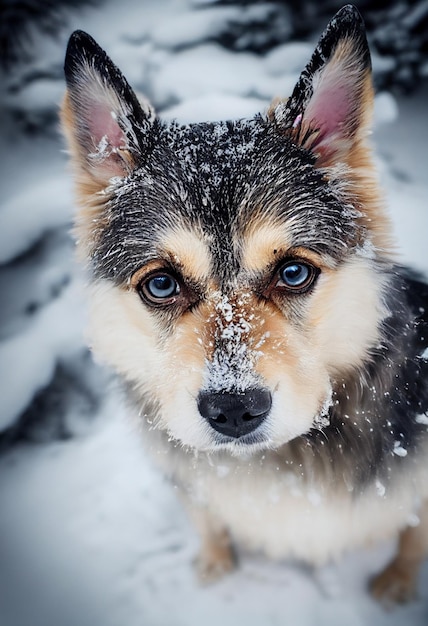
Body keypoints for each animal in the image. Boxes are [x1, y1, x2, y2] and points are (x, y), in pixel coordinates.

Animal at [61, 3, 428, 600]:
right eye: (161, 285)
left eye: (294, 272)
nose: (233, 411)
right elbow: (207, 517)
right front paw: (214, 564)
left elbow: (415, 531)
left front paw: (396, 582)